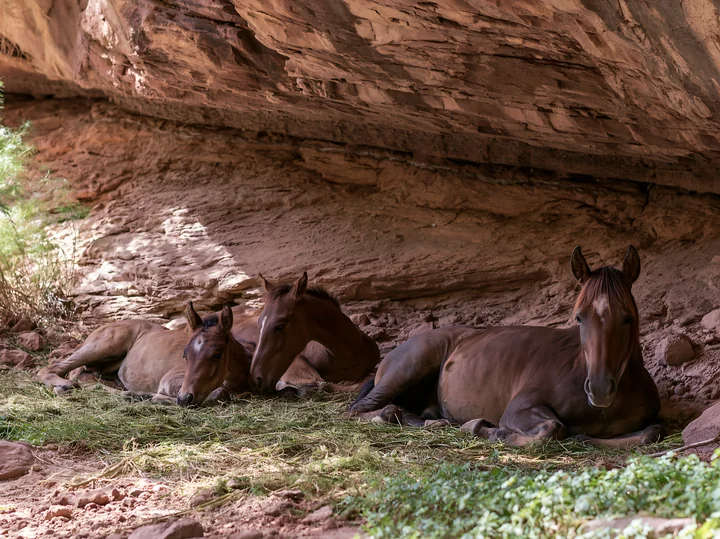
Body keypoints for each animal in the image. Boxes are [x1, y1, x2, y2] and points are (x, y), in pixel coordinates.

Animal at [37, 303, 253, 406]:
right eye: (184, 355)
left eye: (217, 353)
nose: (185, 399)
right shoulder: (170, 380)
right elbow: (219, 393)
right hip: (106, 344)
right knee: (51, 369)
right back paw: (65, 385)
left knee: (85, 376)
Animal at [349, 246, 663, 448]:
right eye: (579, 317)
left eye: (627, 318)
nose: (599, 389)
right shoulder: (520, 409)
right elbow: (552, 429)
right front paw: (485, 429)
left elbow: (652, 432)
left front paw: (584, 437)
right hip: (408, 367)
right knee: (361, 409)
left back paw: (432, 423)